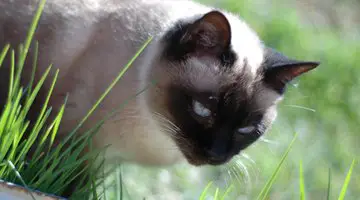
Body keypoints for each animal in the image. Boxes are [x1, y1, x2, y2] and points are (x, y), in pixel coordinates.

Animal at [1, 0, 320, 181]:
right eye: (203, 109)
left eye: (247, 129)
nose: (215, 155)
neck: (154, 132)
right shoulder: (63, 143)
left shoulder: (98, 159)